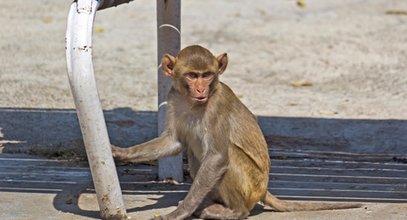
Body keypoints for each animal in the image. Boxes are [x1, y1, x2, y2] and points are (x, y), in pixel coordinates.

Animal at [112, 45, 364, 220]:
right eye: (192, 75)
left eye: (207, 75)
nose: (201, 90)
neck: (192, 103)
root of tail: (264, 189)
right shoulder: (173, 98)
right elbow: (173, 142)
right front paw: (119, 153)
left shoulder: (216, 107)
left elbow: (217, 158)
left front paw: (180, 212)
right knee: (195, 154)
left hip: (251, 186)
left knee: (227, 156)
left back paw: (235, 211)